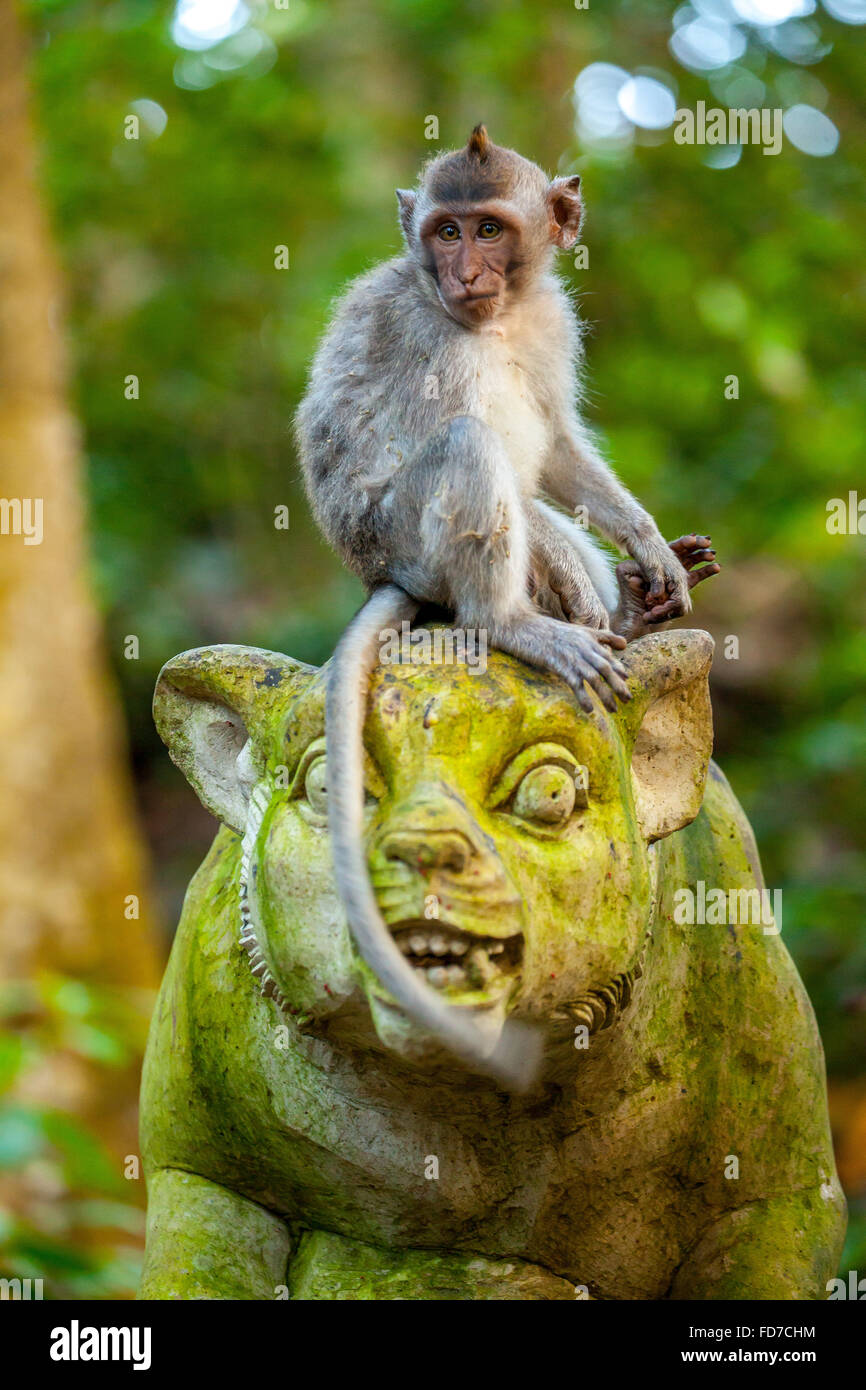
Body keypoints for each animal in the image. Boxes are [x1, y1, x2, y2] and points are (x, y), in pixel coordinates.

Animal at [295, 126, 719, 1087]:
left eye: (489, 229)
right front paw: (578, 601)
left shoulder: (552, 319)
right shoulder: (430, 336)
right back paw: (517, 622)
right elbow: (479, 453)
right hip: (410, 540)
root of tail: (384, 573)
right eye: (446, 232)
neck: (494, 317)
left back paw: (626, 615)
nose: (465, 270)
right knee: (469, 446)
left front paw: (644, 547)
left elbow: (557, 443)